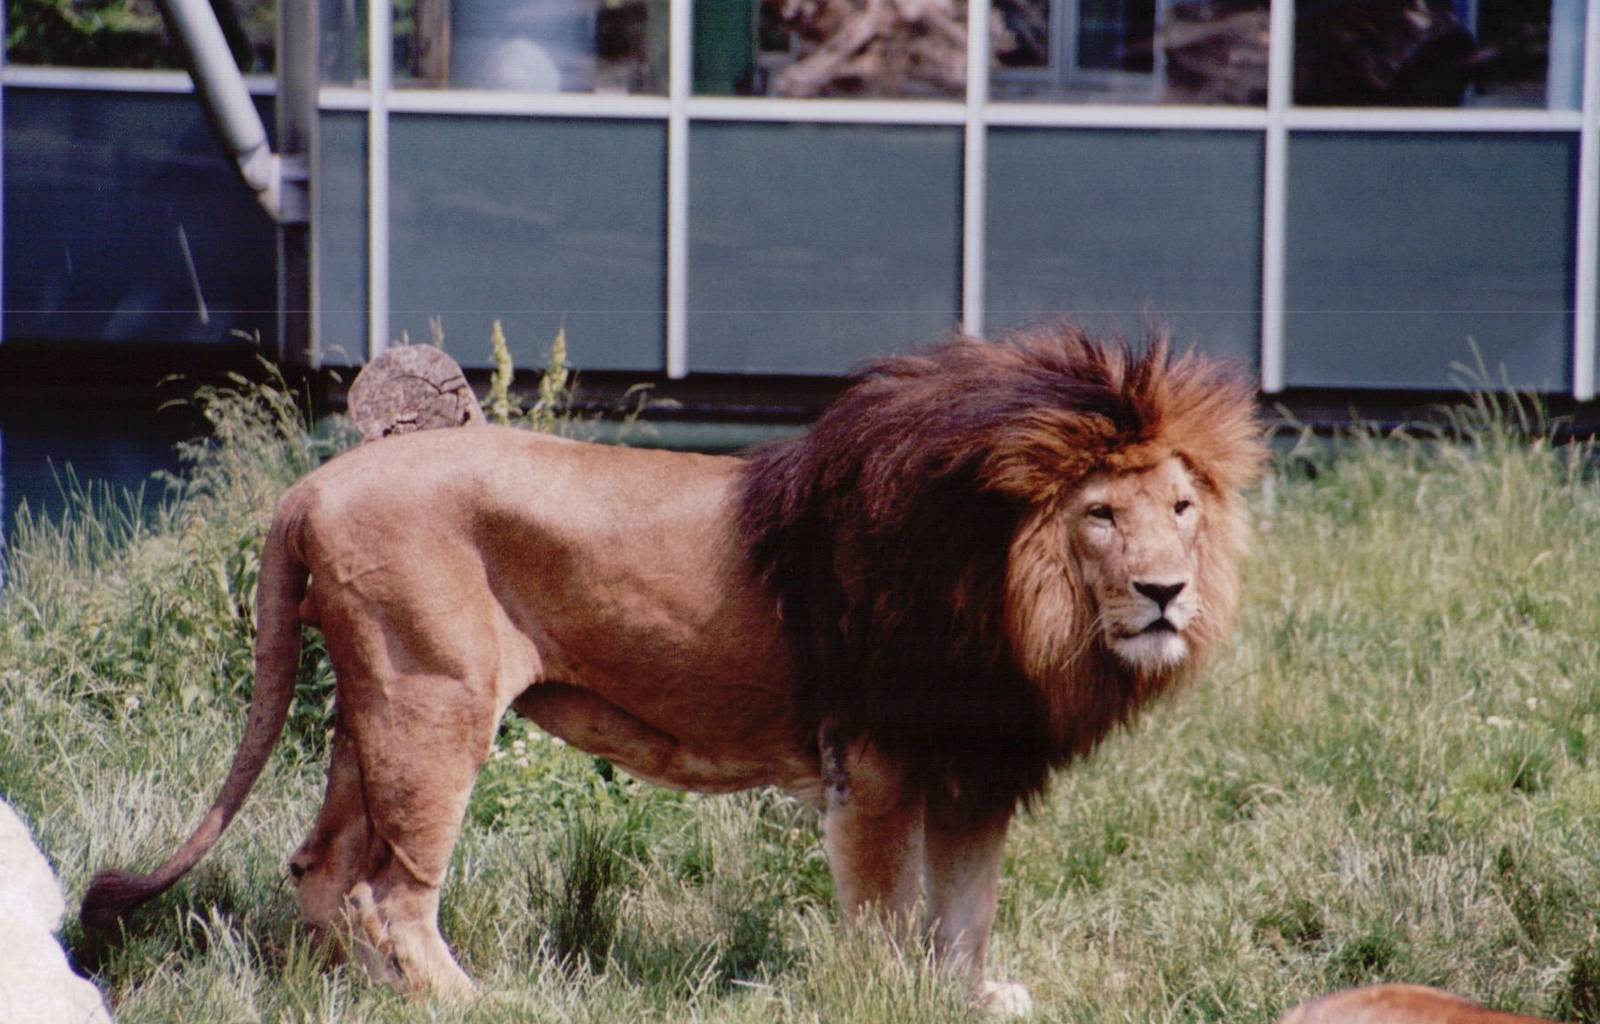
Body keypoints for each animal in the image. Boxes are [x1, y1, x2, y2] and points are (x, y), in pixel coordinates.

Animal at [81, 324, 1266, 1014]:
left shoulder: (971, 767)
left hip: (364, 714)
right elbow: (890, 913)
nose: (1167, 592)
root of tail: (312, 485)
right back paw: (477, 1001)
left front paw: (968, 999)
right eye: (1100, 514)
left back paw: (385, 1002)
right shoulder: (875, 762)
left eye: (1181, 507)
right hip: (433, 703)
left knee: (322, 869)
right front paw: (890, 995)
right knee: (390, 889)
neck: (1013, 593)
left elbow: (964, 914)